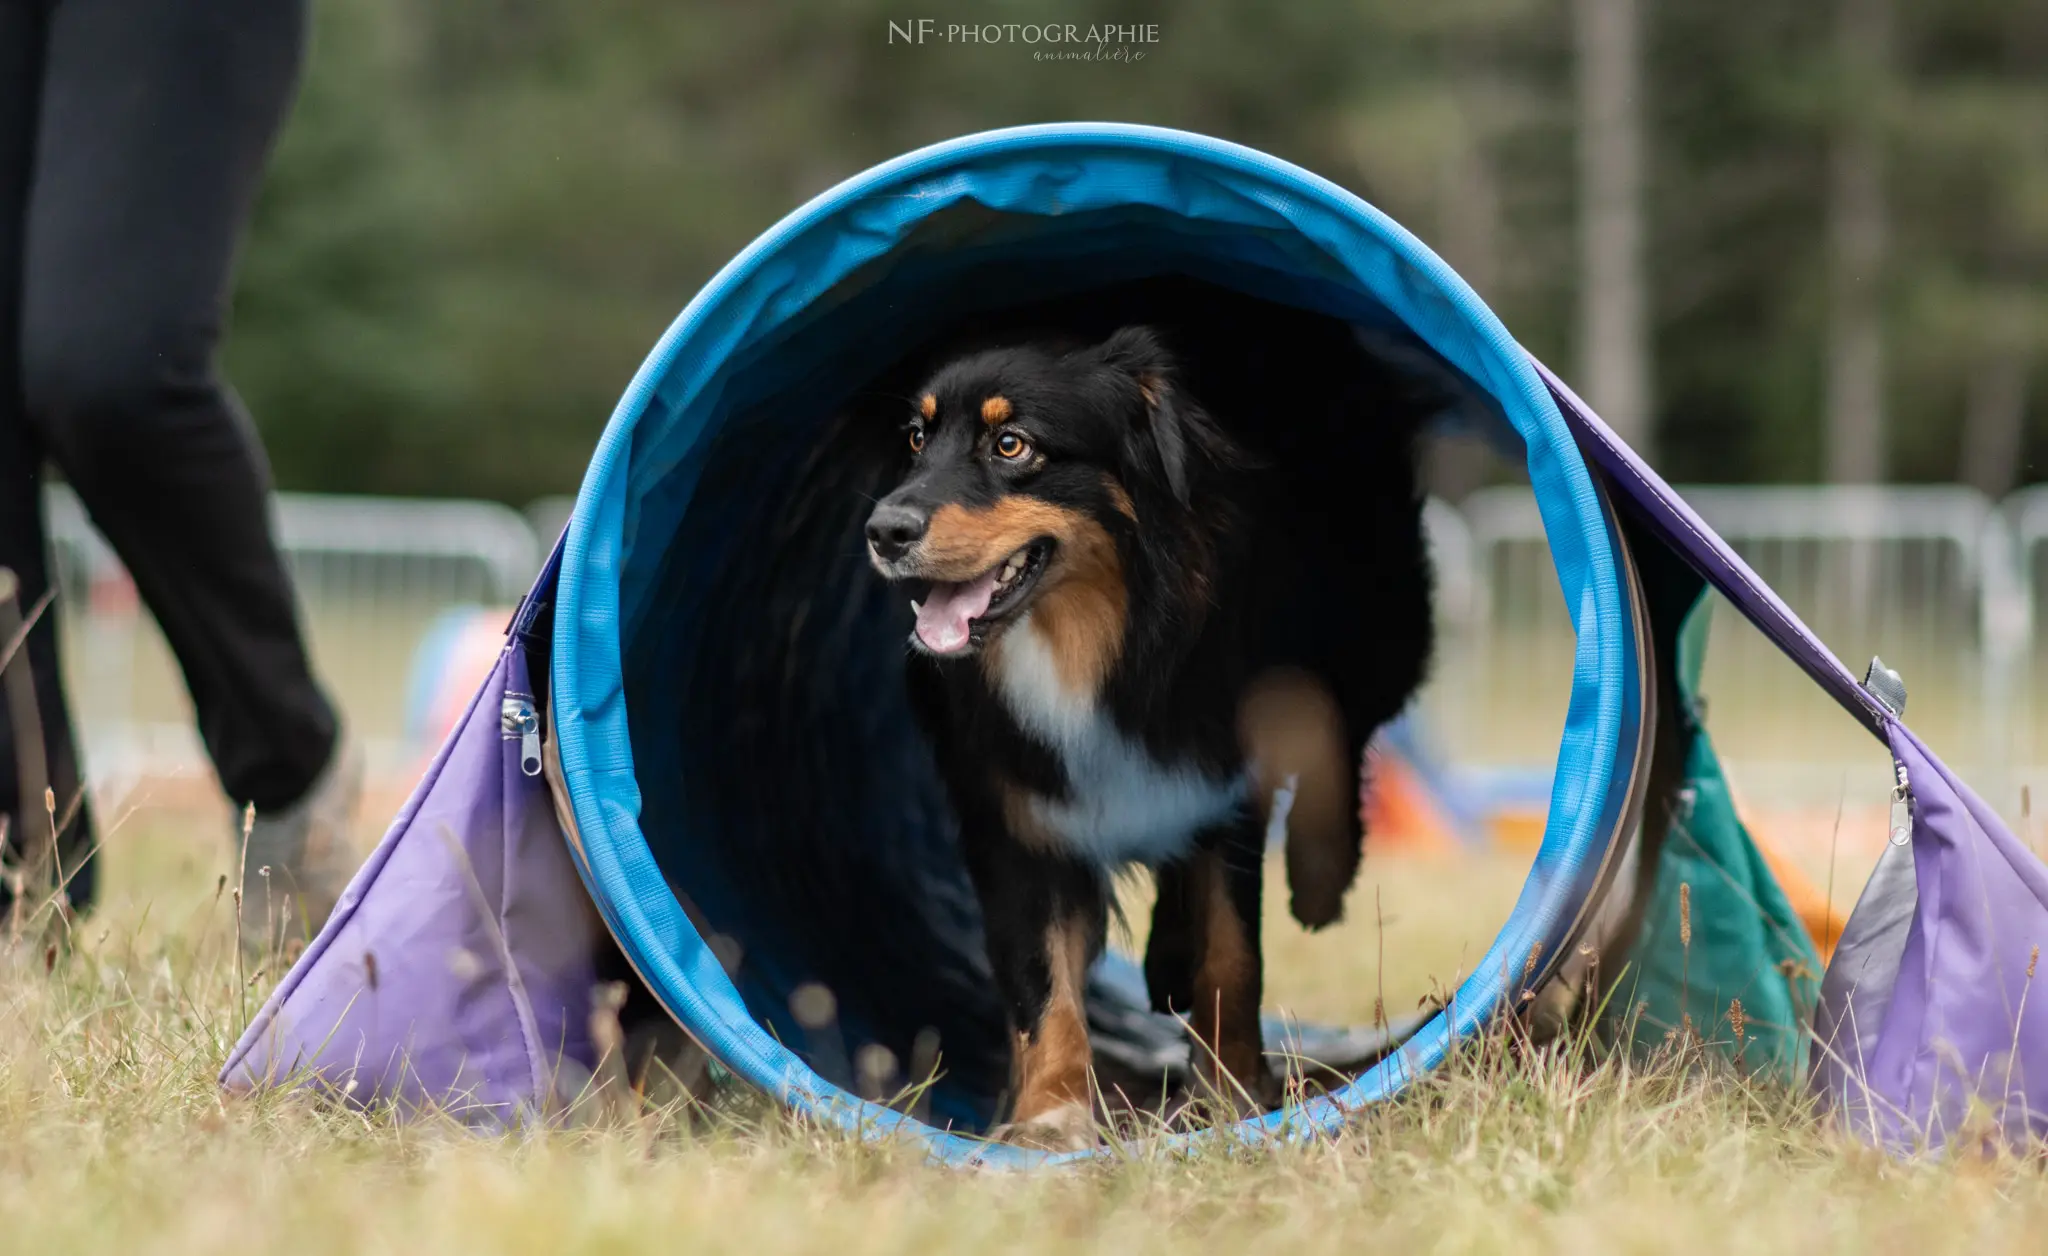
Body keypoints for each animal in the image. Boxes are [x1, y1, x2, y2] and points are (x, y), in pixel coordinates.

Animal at [860, 280, 1425, 1147]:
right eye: (918, 438)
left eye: (1012, 445)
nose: (882, 530)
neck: (1086, 639)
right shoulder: (1017, 824)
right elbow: (1043, 987)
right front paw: (1050, 1119)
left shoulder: (1221, 778)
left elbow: (1232, 955)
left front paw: (1232, 1095)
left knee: (1341, 731)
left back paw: (1318, 881)